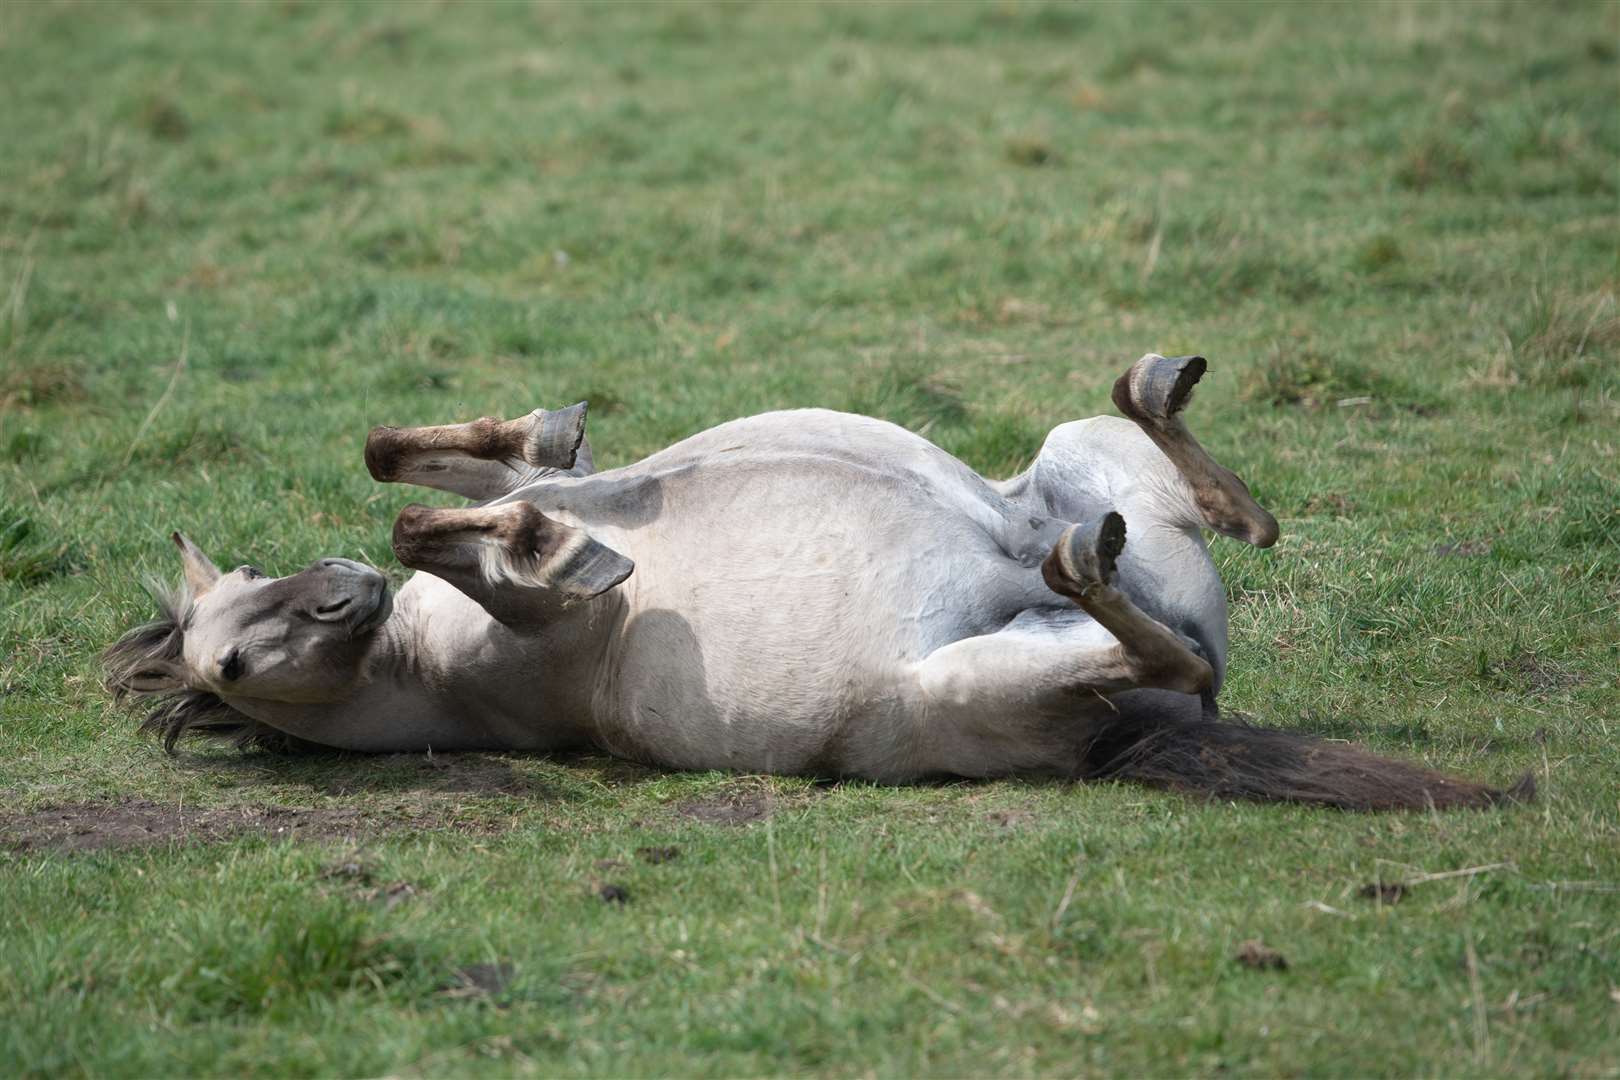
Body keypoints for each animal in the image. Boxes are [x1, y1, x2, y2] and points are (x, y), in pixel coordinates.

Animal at [104, 354, 1529, 809]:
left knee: (1209, 507)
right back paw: (1091, 561)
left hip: (1071, 462)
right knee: (1161, 637)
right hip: (984, 679)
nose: (342, 593)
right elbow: (456, 531)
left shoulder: (523, 490)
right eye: (229, 661)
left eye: (256, 576)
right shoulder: (545, 642)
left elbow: (419, 467)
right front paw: (561, 547)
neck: (421, 663)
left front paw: (542, 454)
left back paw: (1155, 404)